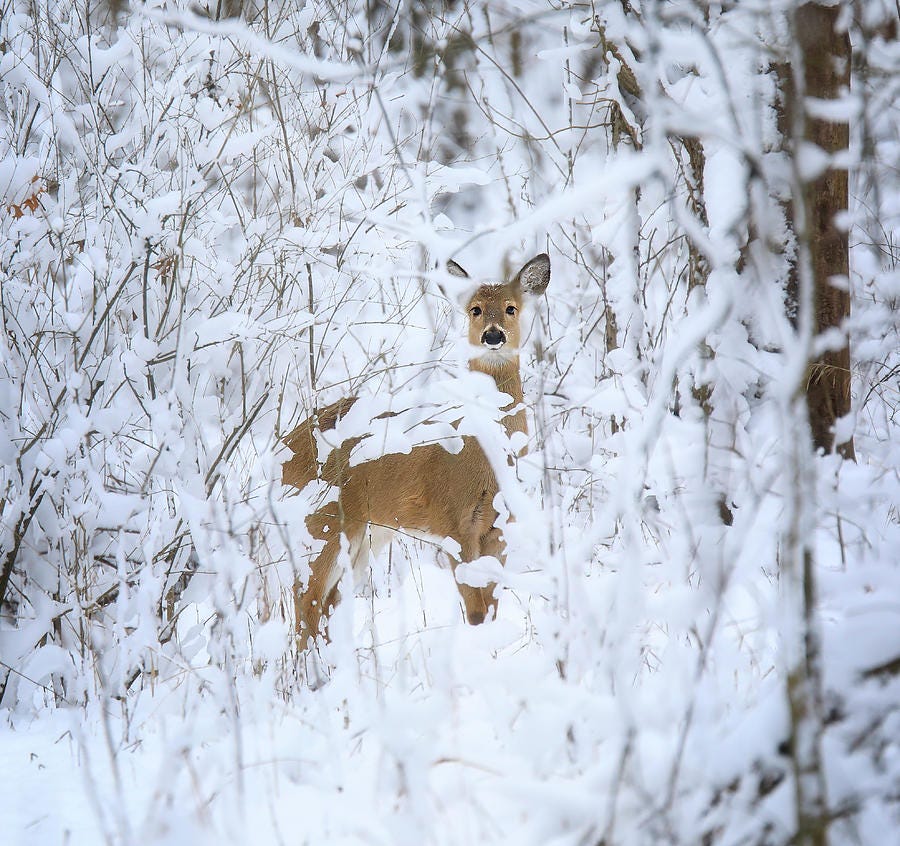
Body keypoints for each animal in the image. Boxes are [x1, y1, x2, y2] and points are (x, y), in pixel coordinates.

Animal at [282, 253, 551, 647]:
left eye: (511, 308)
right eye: (474, 309)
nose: (493, 335)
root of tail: (282, 452)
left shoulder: (499, 526)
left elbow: (491, 610)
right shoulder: (455, 523)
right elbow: (475, 612)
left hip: (367, 533)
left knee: (328, 603)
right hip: (321, 520)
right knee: (307, 601)